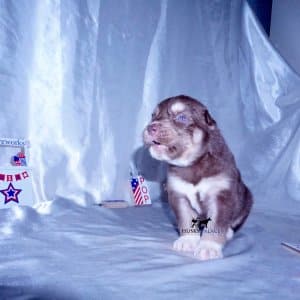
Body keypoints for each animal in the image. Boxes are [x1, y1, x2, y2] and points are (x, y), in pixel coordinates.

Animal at [144, 95, 252, 260]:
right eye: (153, 116)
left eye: (182, 117)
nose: (150, 127)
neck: (193, 163)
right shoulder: (178, 195)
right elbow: (186, 219)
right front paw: (187, 241)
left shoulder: (222, 196)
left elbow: (216, 225)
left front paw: (209, 247)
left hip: (246, 200)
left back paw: (228, 233)